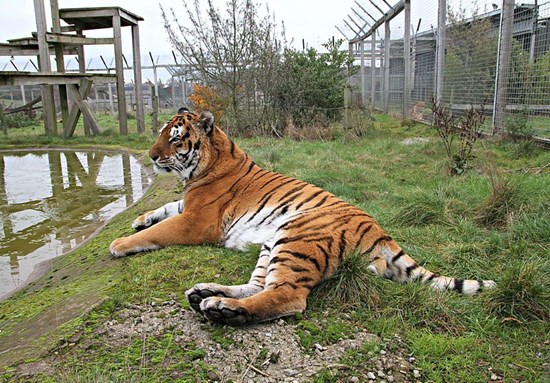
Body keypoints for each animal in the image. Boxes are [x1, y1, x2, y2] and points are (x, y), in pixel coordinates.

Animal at [110, 109, 498, 326]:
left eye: (175, 140)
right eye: (162, 134)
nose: (151, 156)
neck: (203, 167)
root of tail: (378, 229)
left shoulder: (198, 220)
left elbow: (161, 229)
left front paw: (120, 242)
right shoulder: (188, 205)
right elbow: (164, 210)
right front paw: (139, 217)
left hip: (296, 235)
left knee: (288, 296)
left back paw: (224, 309)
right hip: (273, 242)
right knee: (261, 285)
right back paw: (207, 293)